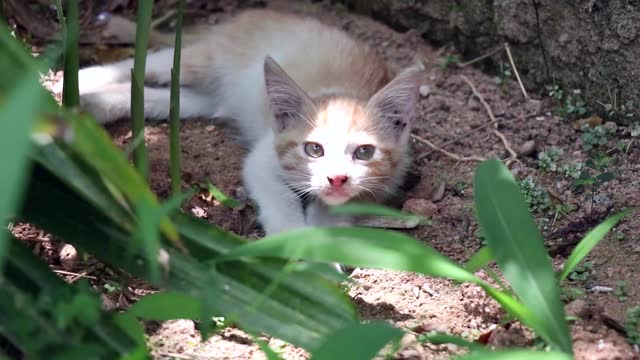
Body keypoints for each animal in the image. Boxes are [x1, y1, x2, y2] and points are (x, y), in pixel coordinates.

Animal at [70, 8, 420, 236]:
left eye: (364, 152)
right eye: (313, 149)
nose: (336, 179)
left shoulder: (382, 185)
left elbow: (339, 208)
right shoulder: (263, 160)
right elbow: (281, 201)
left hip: (212, 97)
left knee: (167, 98)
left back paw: (95, 103)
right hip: (206, 59)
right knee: (147, 64)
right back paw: (81, 80)